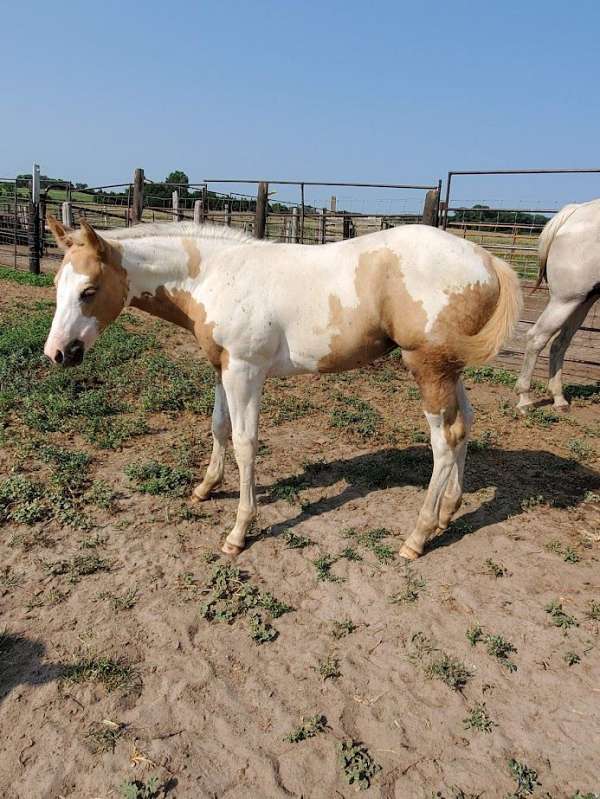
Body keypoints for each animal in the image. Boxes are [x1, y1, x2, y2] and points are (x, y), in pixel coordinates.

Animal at [44, 216, 520, 560]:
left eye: (88, 291)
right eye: (56, 286)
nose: (57, 353)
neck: (212, 274)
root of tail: (486, 260)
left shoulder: (245, 371)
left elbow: (245, 442)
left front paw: (239, 531)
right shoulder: (222, 367)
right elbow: (218, 427)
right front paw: (206, 488)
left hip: (427, 367)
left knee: (444, 441)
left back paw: (417, 537)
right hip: (450, 369)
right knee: (465, 425)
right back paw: (447, 513)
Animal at [516, 200, 600, 412]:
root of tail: (575, 211)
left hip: (583, 300)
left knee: (560, 343)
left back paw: (559, 399)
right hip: (566, 299)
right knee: (537, 338)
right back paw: (525, 400)